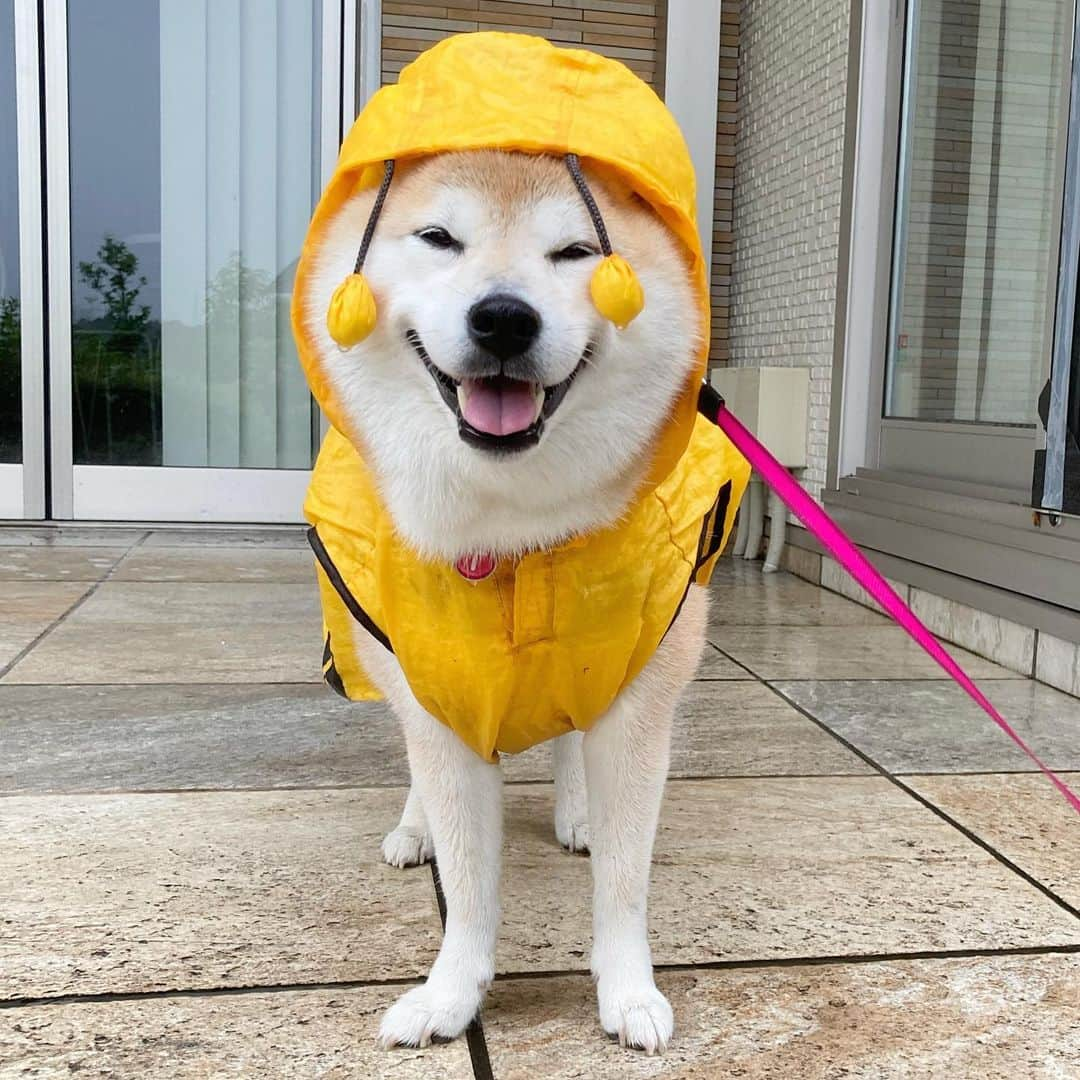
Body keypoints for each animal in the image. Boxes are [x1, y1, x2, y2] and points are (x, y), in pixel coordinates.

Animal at [295, 33, 751, 1054]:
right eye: (438, 239)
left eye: (577, 251)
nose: (504, 316)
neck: (514, 539)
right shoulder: (438, 687)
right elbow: (468, 884)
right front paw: (451, 994)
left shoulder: (640, 685)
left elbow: (623, 875)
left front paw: (627, 990)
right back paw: (414, 827)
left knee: (575, 741)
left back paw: (575, 809)